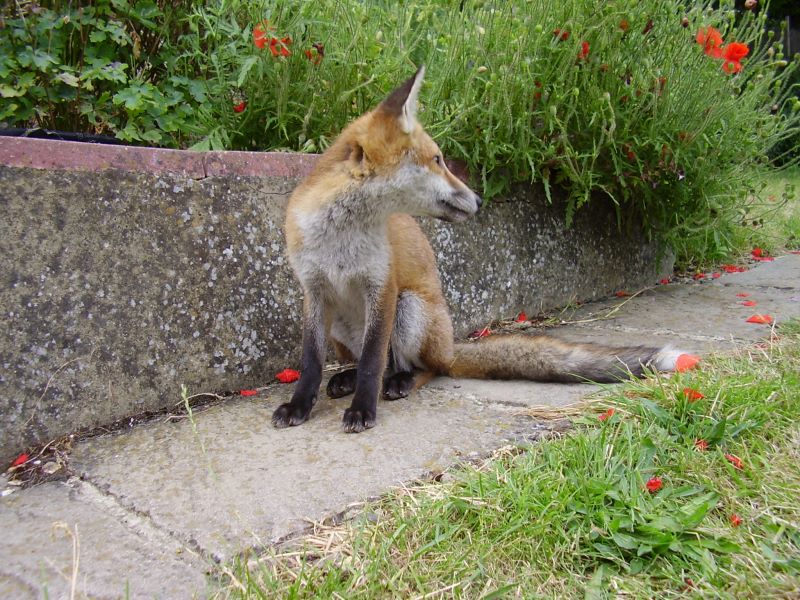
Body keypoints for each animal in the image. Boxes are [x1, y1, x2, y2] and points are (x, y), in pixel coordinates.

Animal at [272, 64, 684, 432]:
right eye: (438, 160)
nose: (481, 200)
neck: (340, 238)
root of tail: (451, 346)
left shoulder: (383, 287)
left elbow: (374, 361)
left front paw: (362, 410)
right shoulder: (313, 291)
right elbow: (311, 361)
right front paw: (299, 405)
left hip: (409, 308)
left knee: (421, 368)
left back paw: (399, 382)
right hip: (341, 327)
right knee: (370, 362)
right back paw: (346, 378)